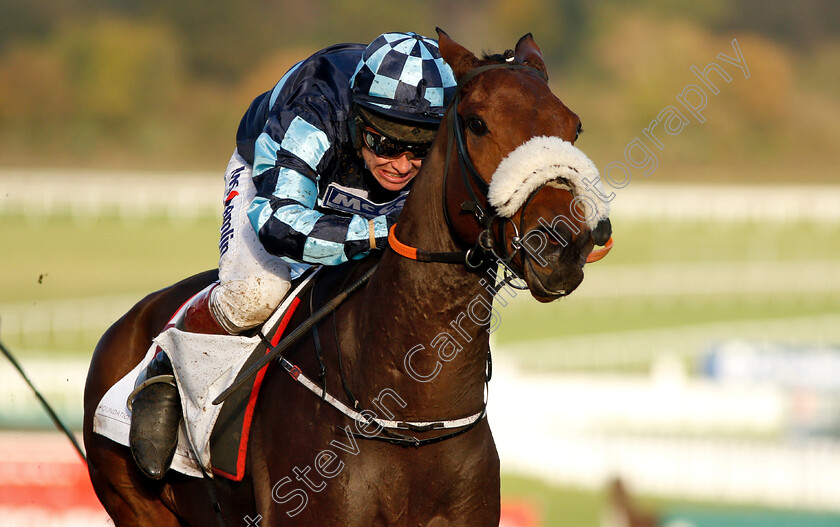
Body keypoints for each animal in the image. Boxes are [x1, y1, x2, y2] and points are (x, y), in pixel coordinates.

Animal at [83, 29, 612, 527]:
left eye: (574, 127)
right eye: (477, 123)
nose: (564, 243)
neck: (411, 420)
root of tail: (127, 321)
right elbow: (280, 213)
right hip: (135, 502)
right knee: (245, 298)